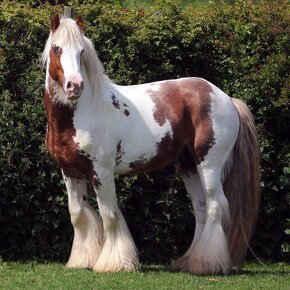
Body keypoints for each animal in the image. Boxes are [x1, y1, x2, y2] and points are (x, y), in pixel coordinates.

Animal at [41, 13, 260, 276]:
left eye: (82, 51)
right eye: (56, 48)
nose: (75, 86)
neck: (83, 113)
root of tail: (226, 98)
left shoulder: (101, 172)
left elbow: (109, 215)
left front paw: (114, 264)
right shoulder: (70, 172)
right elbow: (78, 214)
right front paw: (81, 260)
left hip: (209, 165)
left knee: (216, 206)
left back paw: (207, 265)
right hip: (189, 167)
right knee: (201, 209)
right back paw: (189, 262)